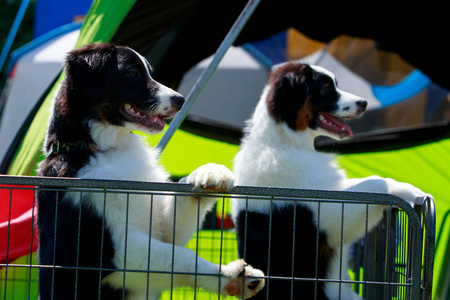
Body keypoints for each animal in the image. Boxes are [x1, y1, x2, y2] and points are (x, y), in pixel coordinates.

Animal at [38, 44, 266, 300]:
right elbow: (182, 255)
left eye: (148, 71)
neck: (101, 148)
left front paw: (210, 174)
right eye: (132, 73)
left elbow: (178, 222)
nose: (180, 100)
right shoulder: (108, 252)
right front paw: (230, 275)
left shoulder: (158, 227)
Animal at [230, 62, 430, 298]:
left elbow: (371, 182)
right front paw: (412, 193)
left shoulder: (332, 189)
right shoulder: (325, 214)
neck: (284, 141)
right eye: (326, 87)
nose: (364, 103)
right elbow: (376, 182)